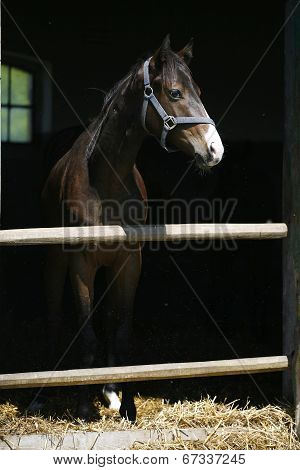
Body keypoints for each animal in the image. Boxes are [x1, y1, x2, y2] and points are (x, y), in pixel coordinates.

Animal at [41, 35, 223, 420]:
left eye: (198, 90)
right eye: (174, 92)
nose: (215, 150)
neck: (105, 182)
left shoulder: (129, 263)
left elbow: (121, 335)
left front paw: (126, 406)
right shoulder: (80, 265)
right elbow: (86, 336)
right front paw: (83, 406)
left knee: (109, 323)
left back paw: (108, 391)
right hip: (55, 261)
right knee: (54, 316)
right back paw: (41, 394)